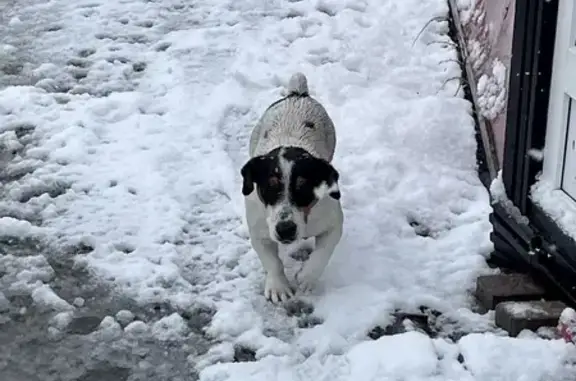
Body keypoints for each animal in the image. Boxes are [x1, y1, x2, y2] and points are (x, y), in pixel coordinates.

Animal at [240, 72, 342, 302]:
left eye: (304, 188)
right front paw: (278, 287)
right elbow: (272, 262)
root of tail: (297, 94)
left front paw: (307, 278)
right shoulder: (259, 232)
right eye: (269, 187)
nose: (285, 230)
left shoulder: (334, 224)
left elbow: (322, 255)